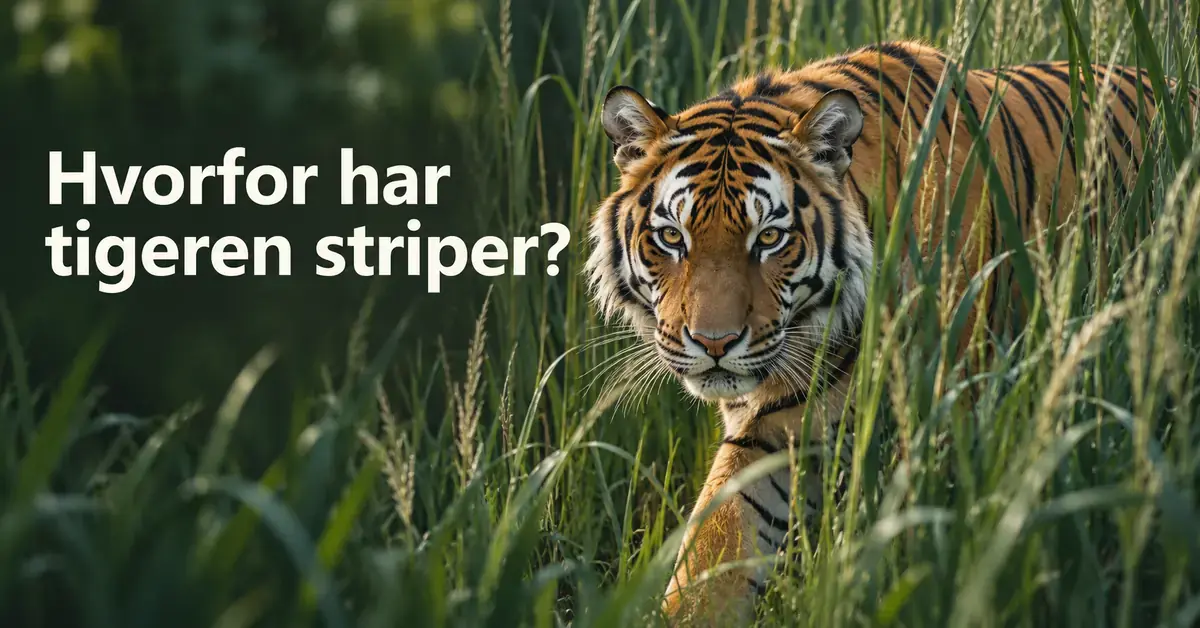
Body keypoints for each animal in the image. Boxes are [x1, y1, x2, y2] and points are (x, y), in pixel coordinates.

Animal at [584, 39, 1188, 624]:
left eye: (770, 238)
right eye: (672, 237)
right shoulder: (767, 429)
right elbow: (714, 553)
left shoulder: (940, 417)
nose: (714, 343)